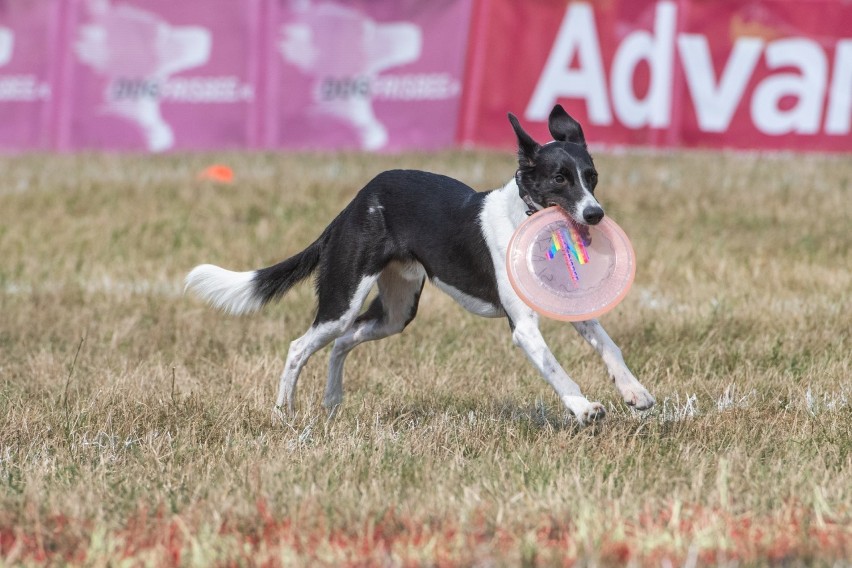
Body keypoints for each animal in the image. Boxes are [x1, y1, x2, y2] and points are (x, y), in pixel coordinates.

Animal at [185, 106, 652, 426]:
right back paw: (285, 410)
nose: (595, 215)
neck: (527, 219)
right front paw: (583, 407)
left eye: (592, 177)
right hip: (344, 296)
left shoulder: (572, 307)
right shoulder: (524, 328)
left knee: (342, 342)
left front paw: (634, 392)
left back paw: (332, 403)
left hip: (396, 311)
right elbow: (556, 369)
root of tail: (354, 204)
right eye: (560, 179)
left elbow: (610, 346)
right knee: (301, 346)